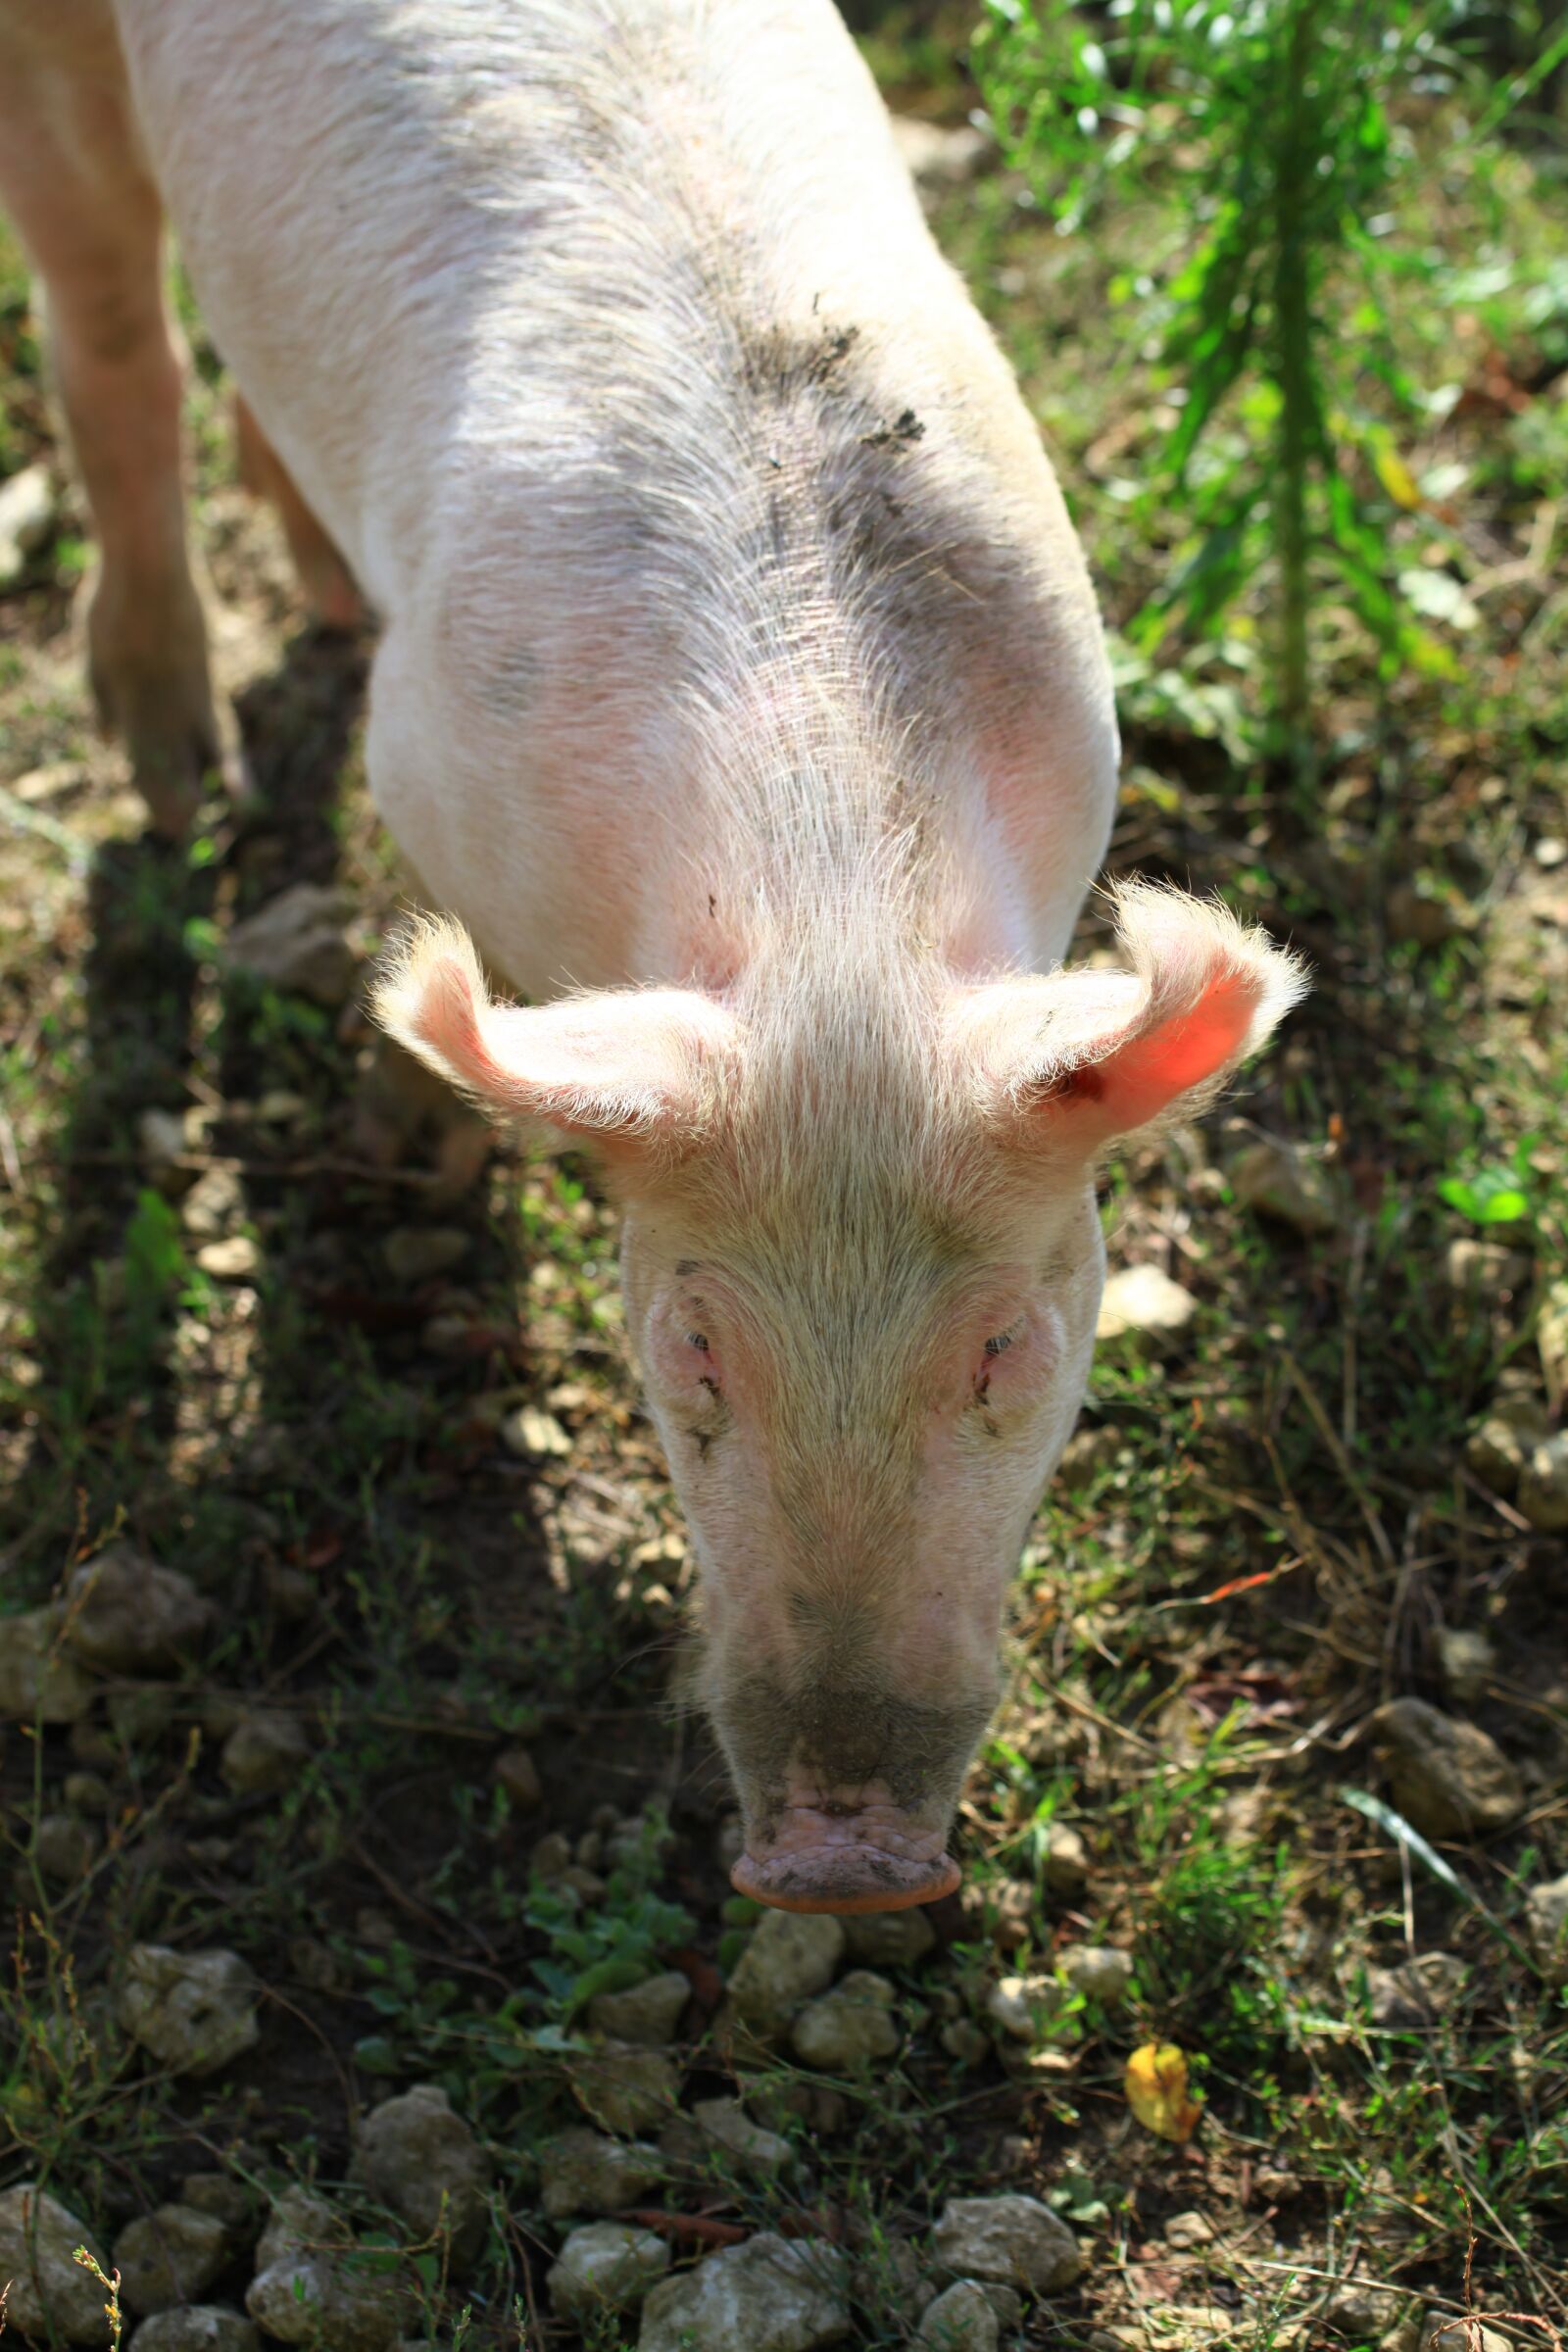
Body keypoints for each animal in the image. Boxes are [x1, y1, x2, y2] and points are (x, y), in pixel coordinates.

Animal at [0, 0, 1305, 1910]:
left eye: (1009, 1349)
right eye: (691, 1353)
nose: (841, 1863)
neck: (828, 904)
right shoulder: (420, 759)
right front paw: (421, 1158)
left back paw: (318, 595)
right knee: (107, 334)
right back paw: (175, 775)